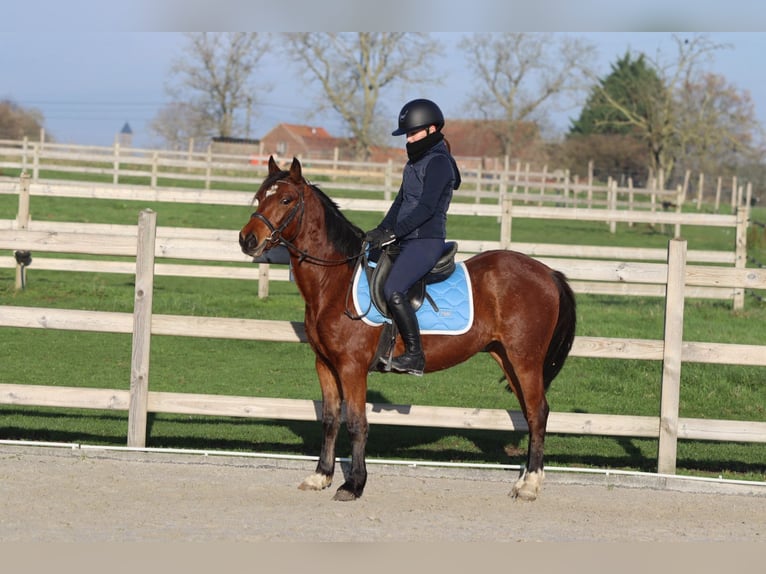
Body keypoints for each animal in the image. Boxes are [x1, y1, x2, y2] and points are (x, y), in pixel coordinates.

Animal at [239, 156, 576, 502]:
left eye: (286, 199)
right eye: (259, 196)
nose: (247, 239)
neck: (334, 281)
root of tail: (548, 273)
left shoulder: (351, 367)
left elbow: (356, 423)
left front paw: (353, 484)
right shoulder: (325, 365)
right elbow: (330, 420)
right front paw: (321, 476)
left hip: (525, 360)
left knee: (538, 412)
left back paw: (530, 484)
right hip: (507, 358)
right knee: (530, 413)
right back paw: (525, 480)